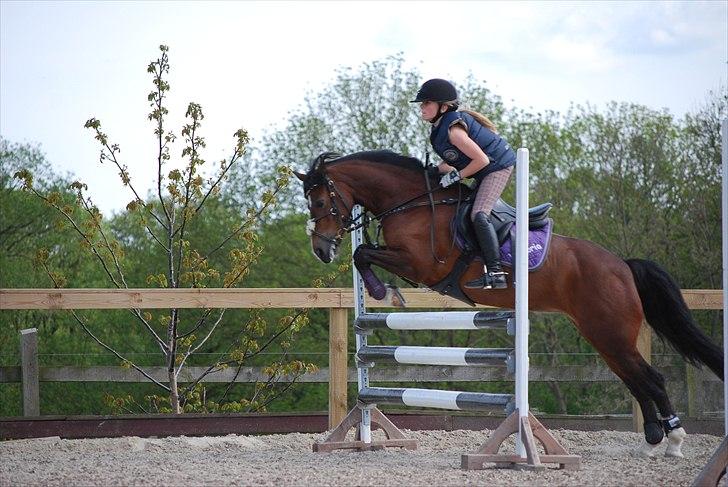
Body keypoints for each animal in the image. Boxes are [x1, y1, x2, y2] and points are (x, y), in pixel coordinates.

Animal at [295, 149, 724, 458]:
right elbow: (362, 252)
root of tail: (622, 266)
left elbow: (362, 252)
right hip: (603, 336)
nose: (319, 250)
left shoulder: (422, 264)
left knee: (651, 378)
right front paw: (382, 290)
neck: (411, 203)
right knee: (635, 379)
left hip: (611, 333)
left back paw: (674, 441)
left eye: (320, 201)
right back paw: (653, 439)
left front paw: (384, 292)